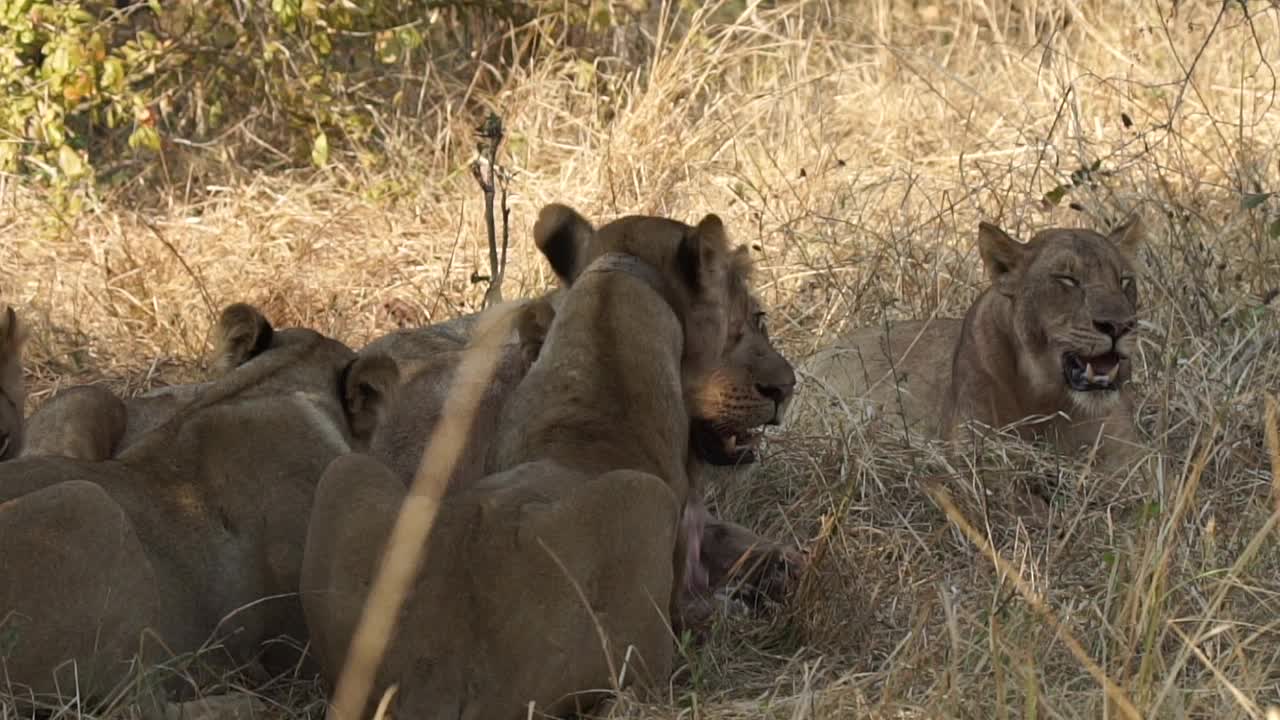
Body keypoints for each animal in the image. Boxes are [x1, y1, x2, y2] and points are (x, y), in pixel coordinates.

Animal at [304, 202, 793, 717]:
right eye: (748, 324)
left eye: (762, 320)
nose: (787, 386)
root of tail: (435, 690)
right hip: (640, 509)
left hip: (344, 474)